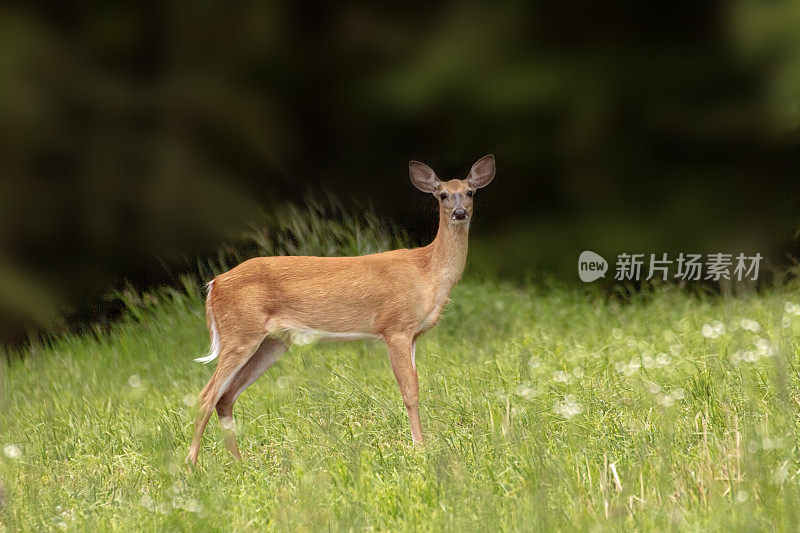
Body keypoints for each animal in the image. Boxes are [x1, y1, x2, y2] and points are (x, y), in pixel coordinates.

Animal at [188, 155, 496, 466]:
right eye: (442, 195)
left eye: (470, 192)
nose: (459, 212)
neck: (427, 272)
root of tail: (213, 285)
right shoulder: (395, 327)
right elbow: (410, 392)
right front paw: (419, 447)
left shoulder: (413, 335)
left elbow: (416, 387)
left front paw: (422, 443)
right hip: (239, 333)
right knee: (206, 396)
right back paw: (191, 464)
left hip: (271, 342)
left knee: (225, 397)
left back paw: (237, 462)